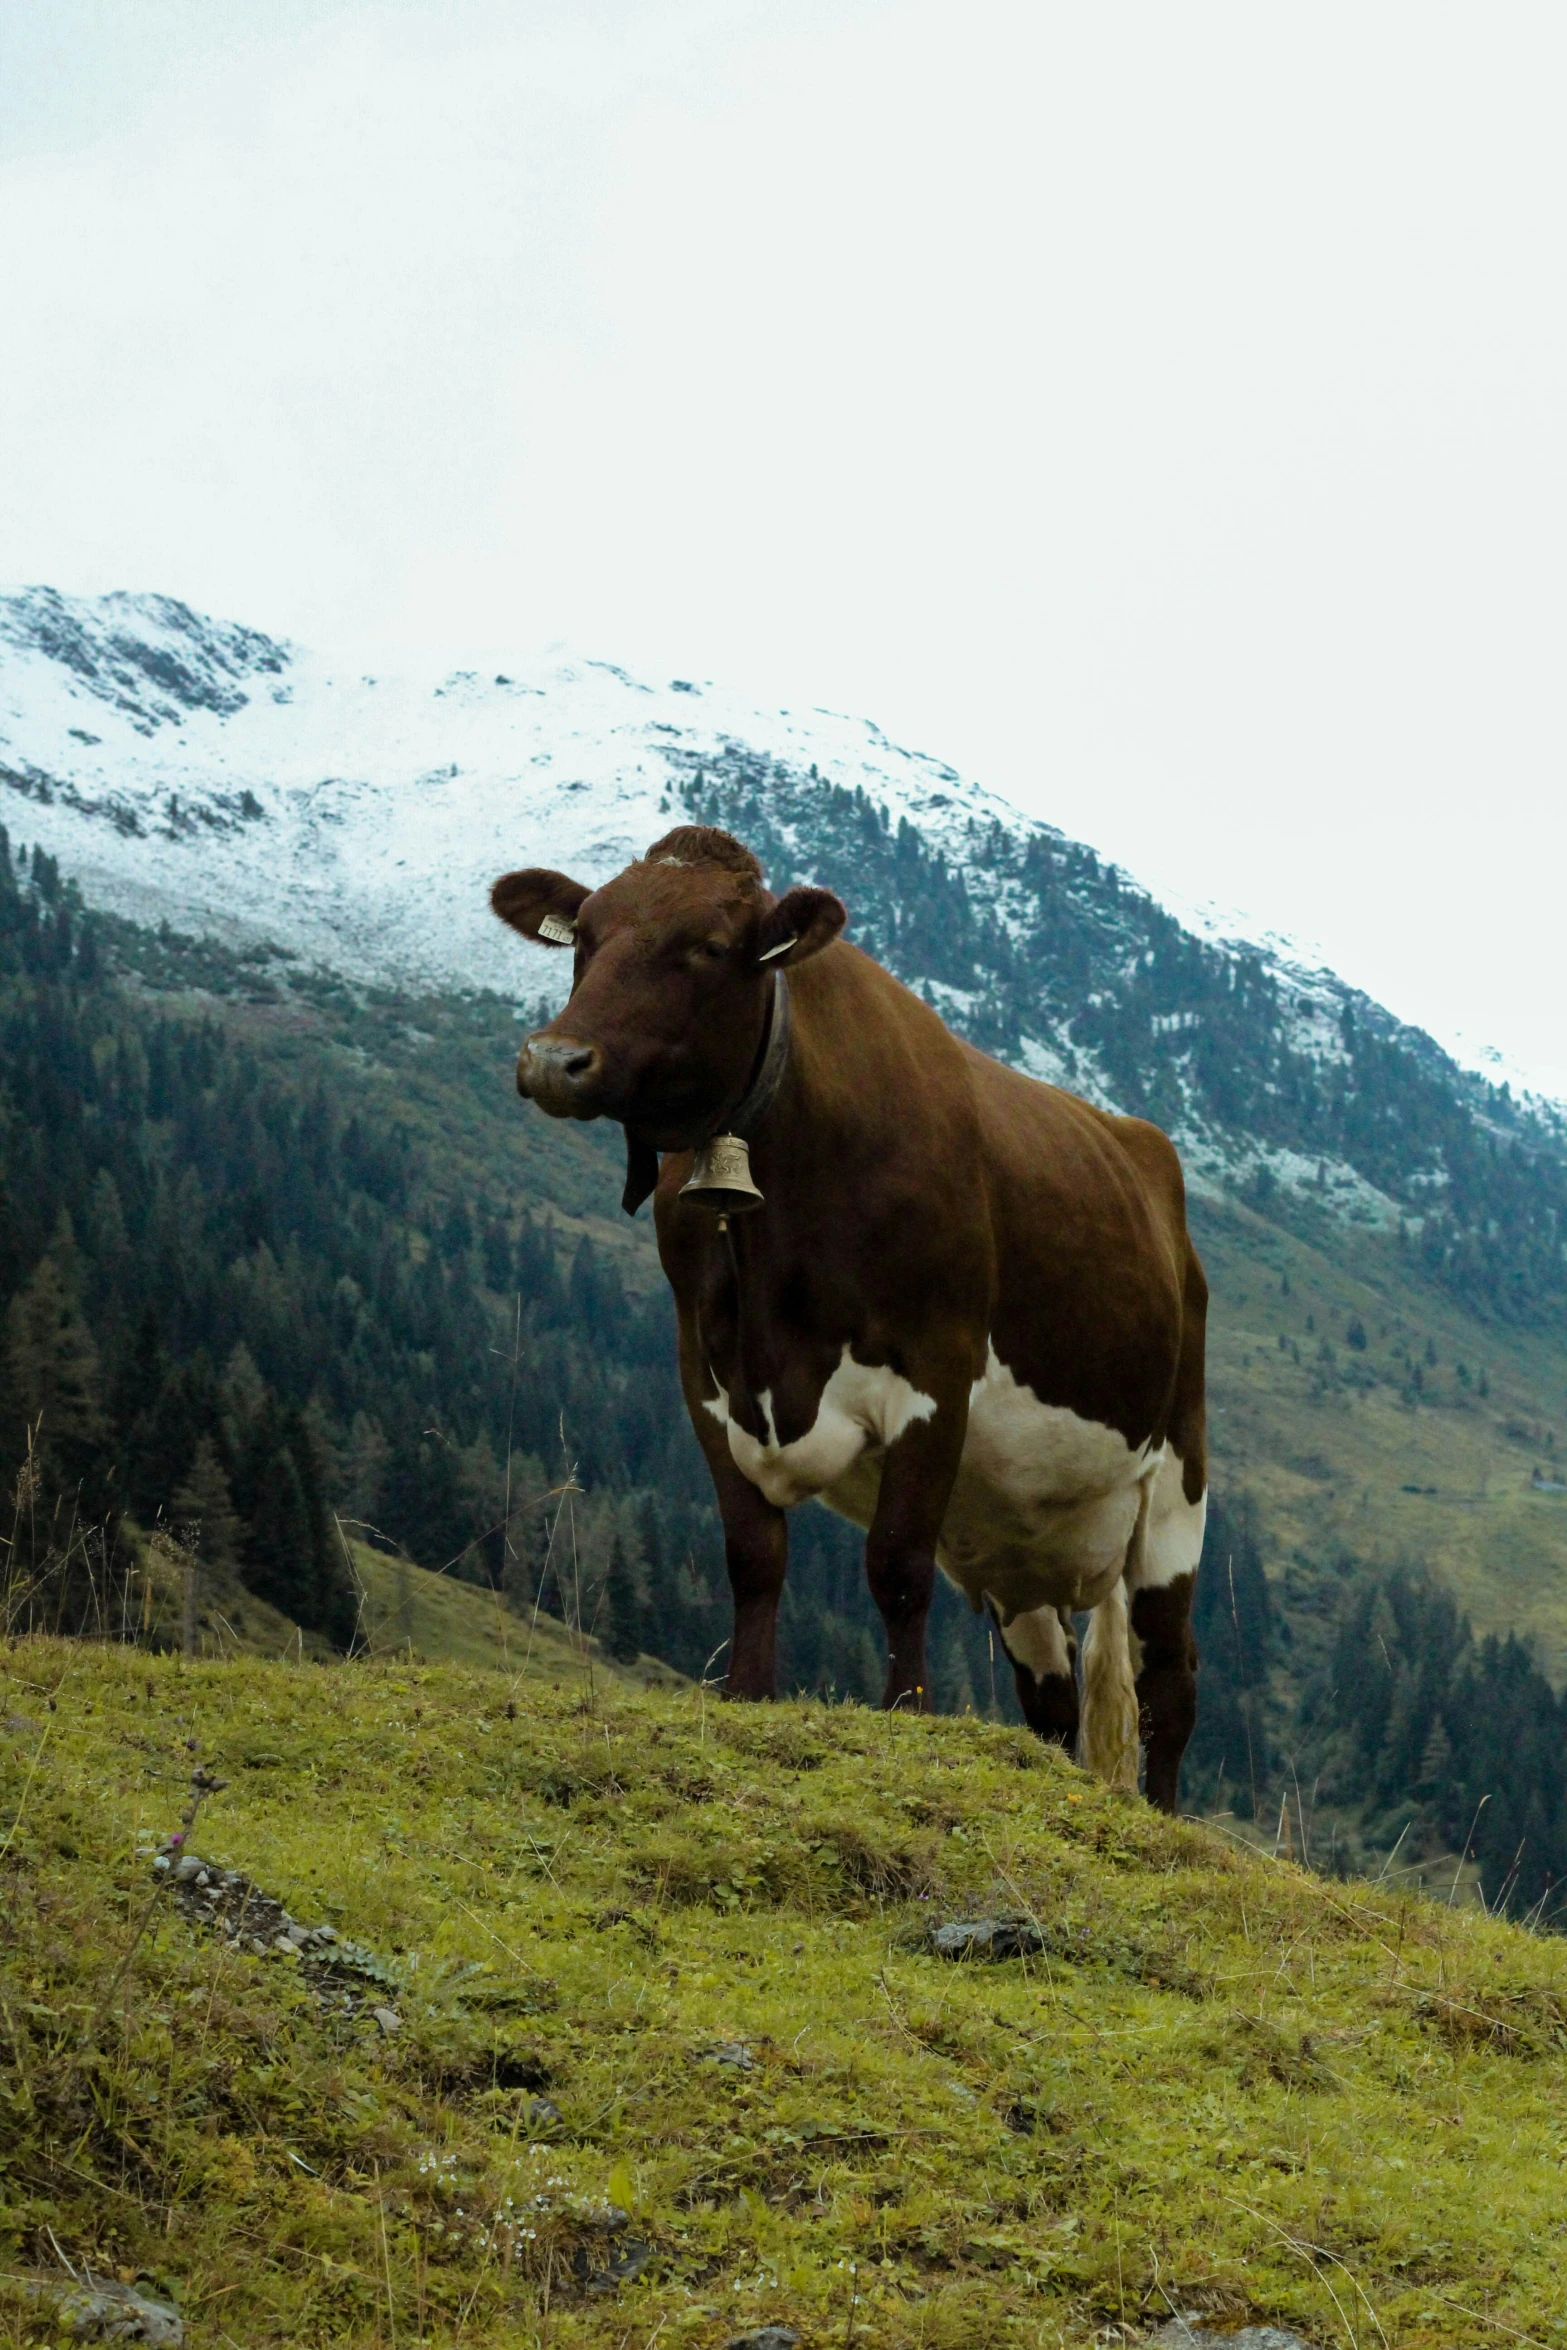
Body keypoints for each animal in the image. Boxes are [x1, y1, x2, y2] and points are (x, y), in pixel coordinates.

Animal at [495, 817, 1212, 1804]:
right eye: (586, 937)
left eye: (706, 947)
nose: (553, 1061)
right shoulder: (705, 1375)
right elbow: (753, 1554)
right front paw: (747, 1693)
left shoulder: (935, 1372)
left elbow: (896, 1564)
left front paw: (904, 1710)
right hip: (1017, 1538)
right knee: (1053, 1692)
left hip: (1176, 1481)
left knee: (1169, 1676)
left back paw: (1165, 1812)